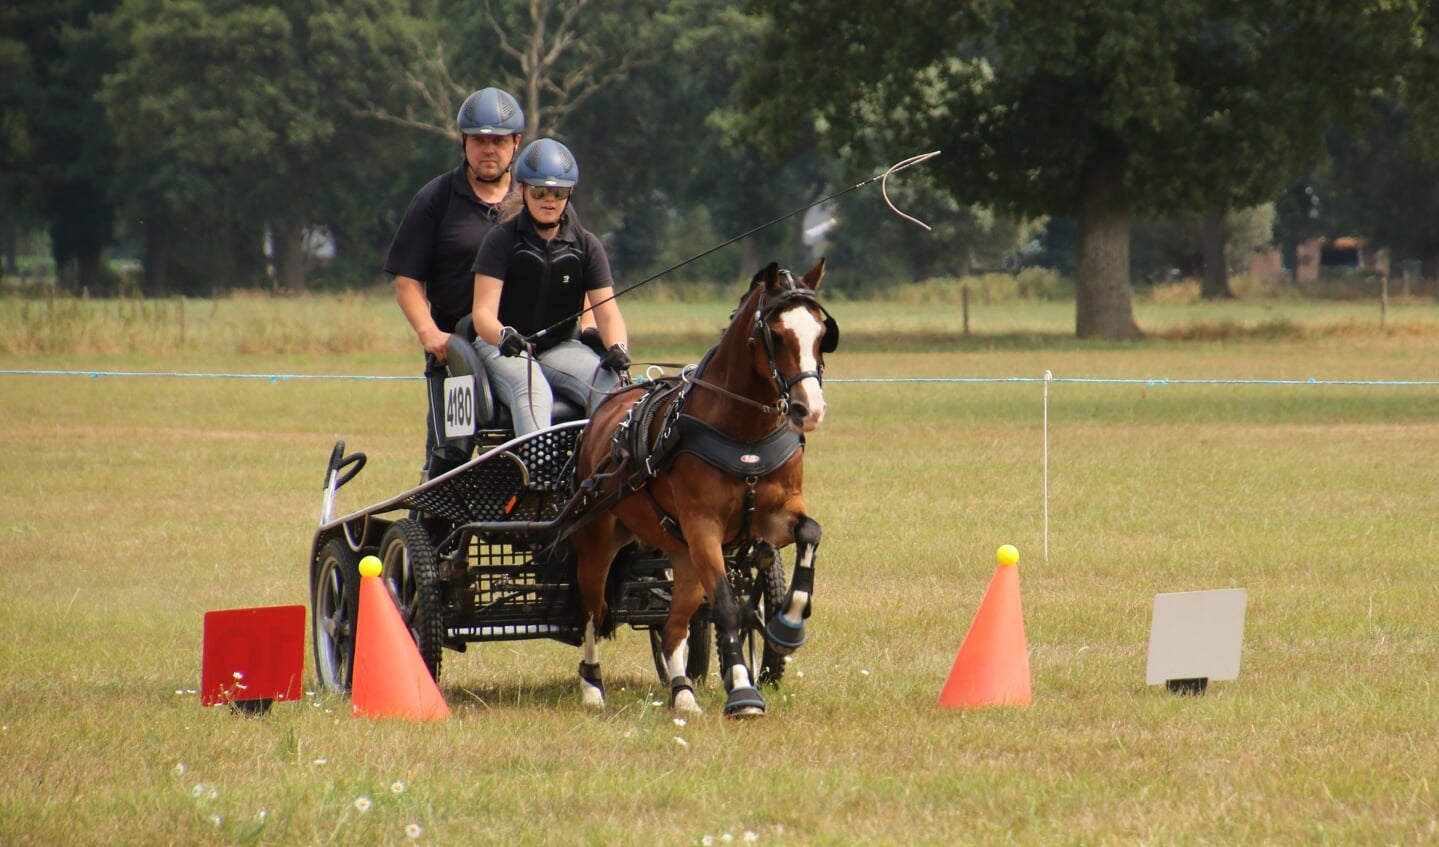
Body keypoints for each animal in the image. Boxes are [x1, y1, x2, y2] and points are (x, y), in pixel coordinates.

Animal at [564, 257, 834, 713]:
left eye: (820, 333)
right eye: (776, 334)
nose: (809, 410)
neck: (743, 434)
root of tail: (605, 412)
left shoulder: (774, 517)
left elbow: (810, 532)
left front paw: (788, 625)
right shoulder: (704, 527)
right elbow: (727, 606)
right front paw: (742, 690)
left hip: (682, 556)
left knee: (675, 626)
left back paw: (683, 694)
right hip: (599, 541)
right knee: (591, 610)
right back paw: (592, 687)